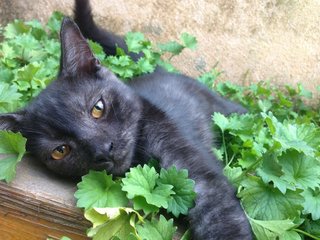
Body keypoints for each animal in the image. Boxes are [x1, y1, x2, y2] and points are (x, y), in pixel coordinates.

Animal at [0, 0, 252, 239]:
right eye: (60, 150)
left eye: (98, 108)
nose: (103, 149)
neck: (137, 159)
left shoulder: (197, 175)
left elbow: (220, 217)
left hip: (226, 108)